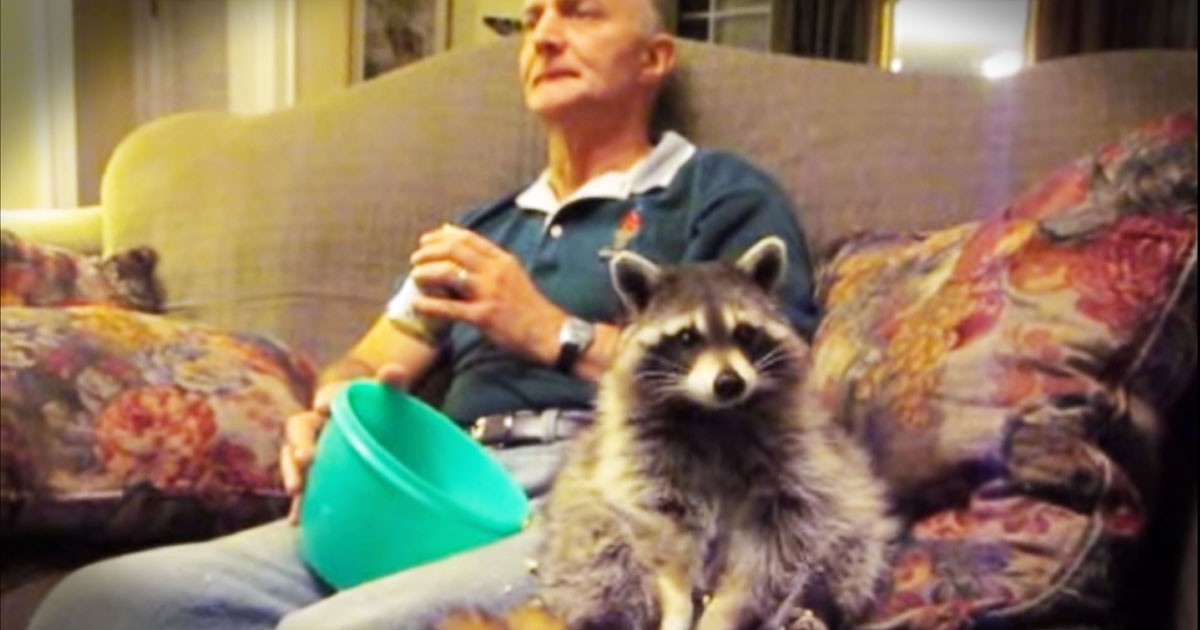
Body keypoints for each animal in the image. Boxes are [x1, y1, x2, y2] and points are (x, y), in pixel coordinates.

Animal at [441, 237, 896, 630]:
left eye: (744, 333)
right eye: (687, 337)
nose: (729, 383)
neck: (712, 412)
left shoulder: (794, 471)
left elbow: (769, 555)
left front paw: (723, 613)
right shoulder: (645, 466)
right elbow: (664, 544)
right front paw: (676, 605)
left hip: (851, 524)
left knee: (846, 548)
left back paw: (809, 611)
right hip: (582, 540)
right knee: (602, 552)